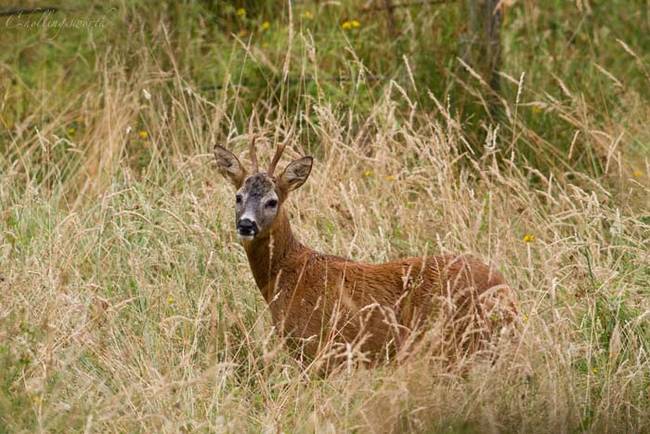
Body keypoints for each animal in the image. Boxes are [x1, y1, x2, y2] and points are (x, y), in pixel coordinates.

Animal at [213, 138, 516, 366]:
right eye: (238, 197)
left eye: (272, 201)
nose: (246, 224)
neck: (287, 275)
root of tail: (506, 292)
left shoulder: (318, 347)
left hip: (453, 341)